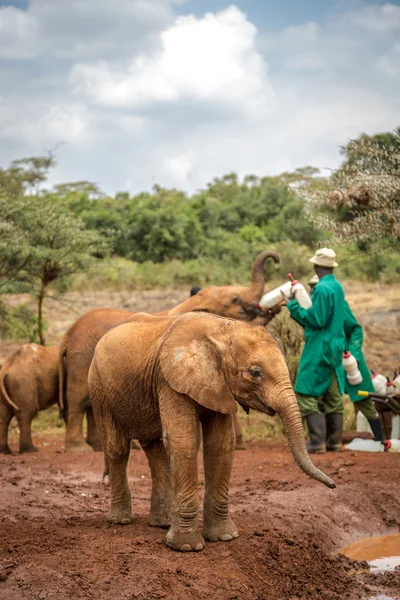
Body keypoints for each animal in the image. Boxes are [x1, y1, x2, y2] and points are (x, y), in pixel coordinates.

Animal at [59, 248, 280, 450]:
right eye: (235, 300)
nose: (276, 259)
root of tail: (68, 334)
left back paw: (98, 446)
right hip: (82, 356)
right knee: (79, 399)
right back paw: (81, 448)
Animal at [89, 314, 336, 552]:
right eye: (255, 372)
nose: (333, 485)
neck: (220, 329)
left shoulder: (219, 386)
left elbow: (221, 443)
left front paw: (224, 537)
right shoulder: (170, 379)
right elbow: (184, 441)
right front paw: (187, 547)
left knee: (154, 450)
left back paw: (162, 523)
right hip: (99, 389)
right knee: (118, 448)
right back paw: (121, 521)